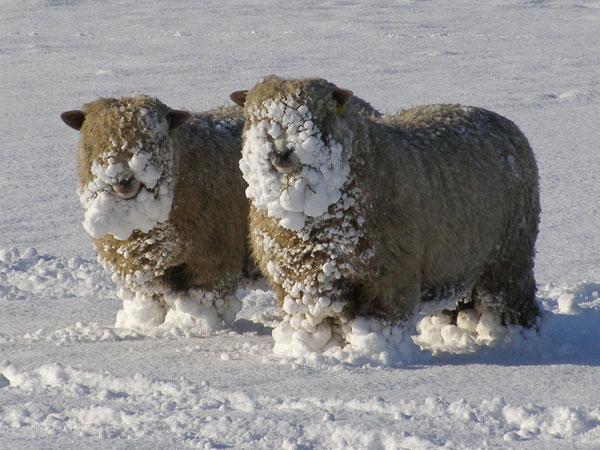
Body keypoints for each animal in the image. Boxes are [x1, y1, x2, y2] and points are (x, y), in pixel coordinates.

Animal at [64, 95, 252, 328]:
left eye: (153, 138)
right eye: (95, 137)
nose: (123, 180)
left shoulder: (214, 262)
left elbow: (206, 300)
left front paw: (198, 325)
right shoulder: (141, 272)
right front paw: (150, 325)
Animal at [231, 75, 540, 354]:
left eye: (317, 117)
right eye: (256, 118)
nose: (281, 153)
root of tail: (507, 123)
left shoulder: (387, 277)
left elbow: (380, 323)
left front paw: (374, 348)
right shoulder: (299, 281)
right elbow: (313, 321)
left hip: (509, 257)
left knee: (512, 300)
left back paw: (514, 336)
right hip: (457, 260)